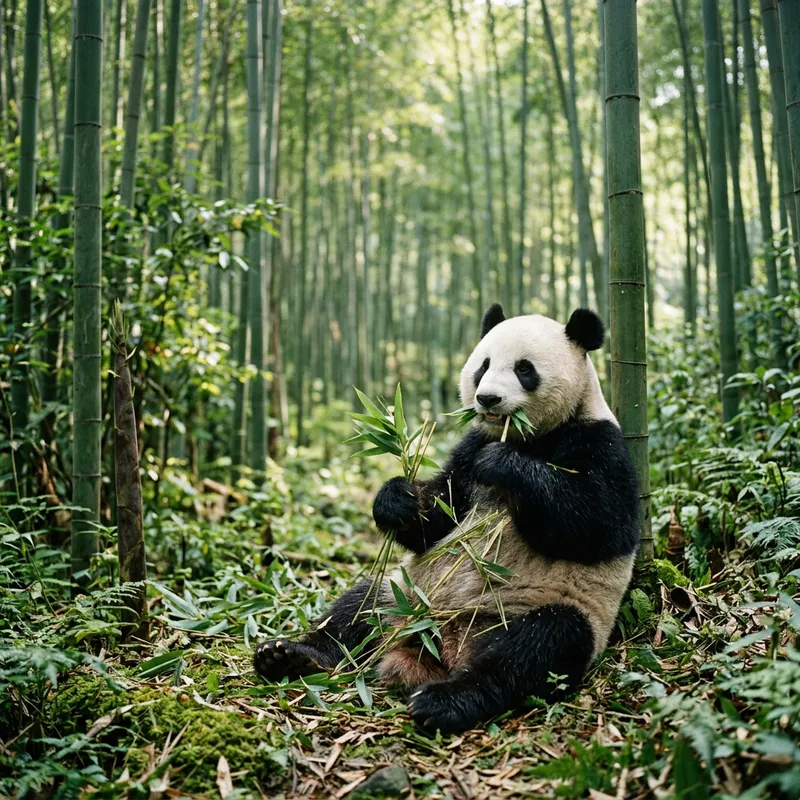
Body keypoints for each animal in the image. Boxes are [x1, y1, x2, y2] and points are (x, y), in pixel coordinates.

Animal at [254, 305, 640, 734]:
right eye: (483, 365)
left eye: (525, 369)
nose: (487, 398)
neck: (524, 436)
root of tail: (439, 643)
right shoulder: (468, 448)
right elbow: (439, 514)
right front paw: (397, 500)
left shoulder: (599, 441)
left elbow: (596, 523)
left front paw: (504, 465)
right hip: (405, 594)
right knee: (358, 607)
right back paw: (289, 655)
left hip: (544, 610)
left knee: (536, 648)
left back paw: (445, 701)